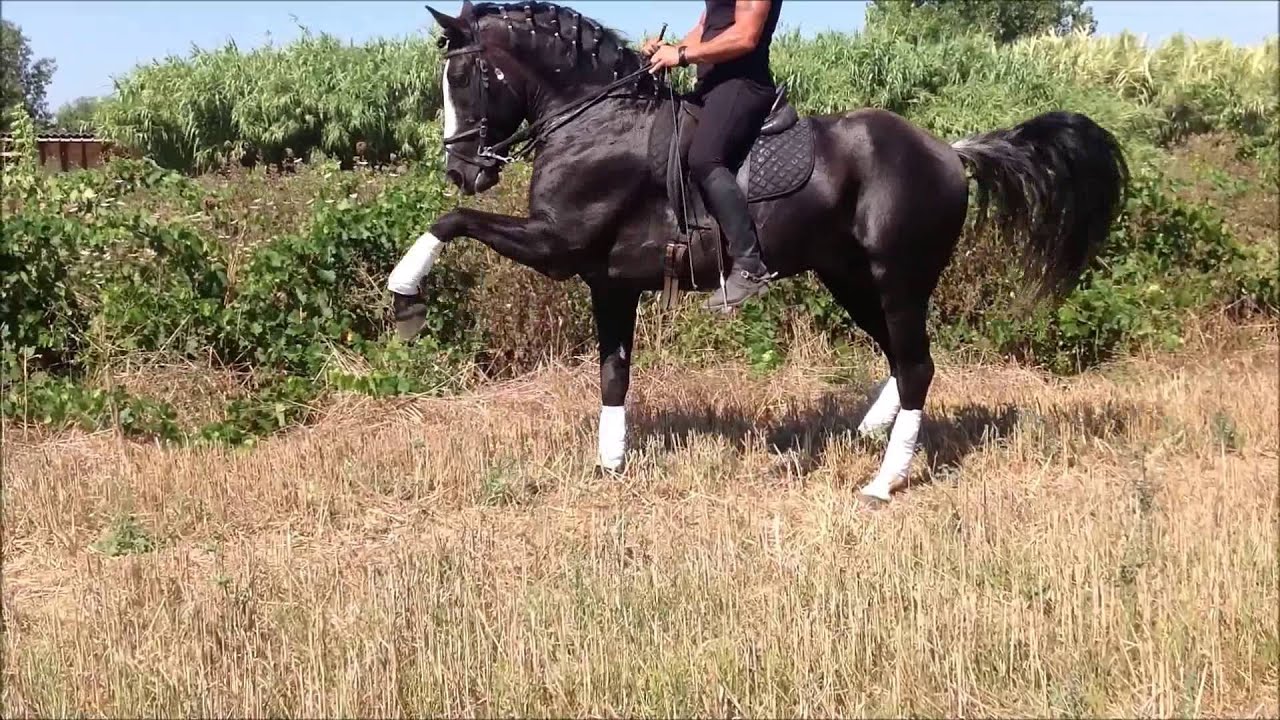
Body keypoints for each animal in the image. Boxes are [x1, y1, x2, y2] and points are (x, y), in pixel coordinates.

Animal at [386, 0, 1129, 503]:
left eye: (463, 77)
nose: (462, 170)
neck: (596, 120)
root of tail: (949, 151)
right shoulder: (608, 280)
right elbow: (613, 375)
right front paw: (611, 466)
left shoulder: (556, 244)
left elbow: (451, 221)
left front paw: (404, 297)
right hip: (849, 278)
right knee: (905, 358)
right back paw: (868, 430)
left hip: (896, 278)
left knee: (917, 365)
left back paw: (882, 481)